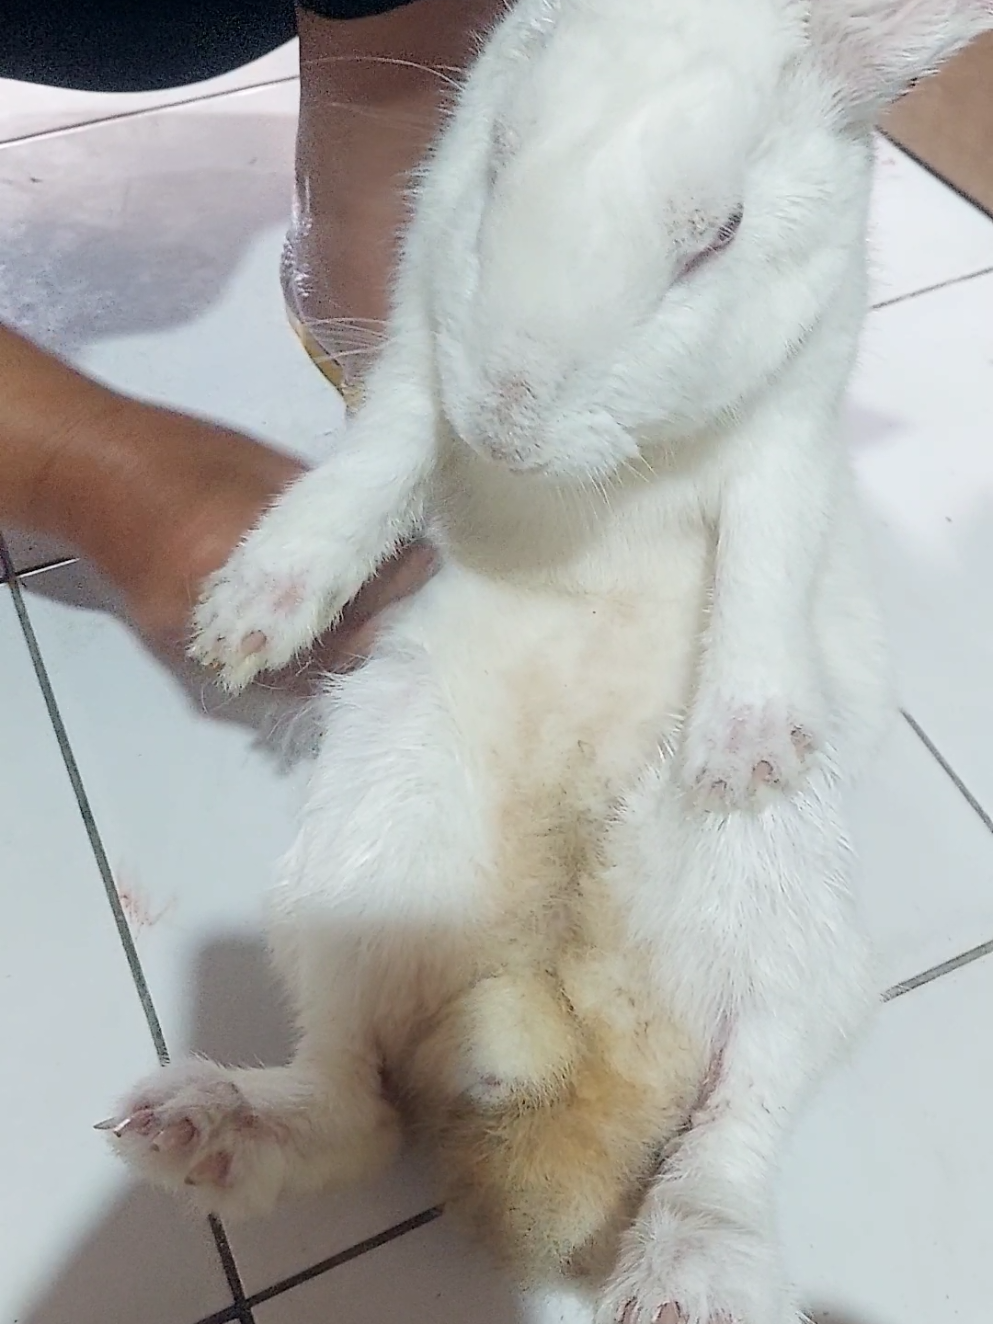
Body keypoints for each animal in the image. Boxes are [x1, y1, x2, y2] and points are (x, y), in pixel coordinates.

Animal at [101, 1, 993, 1320]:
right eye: (499, 153)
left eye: (717, 236)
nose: (505, 422)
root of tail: (565, 1032)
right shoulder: (420, 345)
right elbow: (382, 454)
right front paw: (252, 618)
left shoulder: (793, 414)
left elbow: (769, 549)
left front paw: (744, 747)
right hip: (359, 864)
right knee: (352, 1099)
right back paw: (201, 1127)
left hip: (793, 937)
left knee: (737, 1124)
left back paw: (683, 1276)